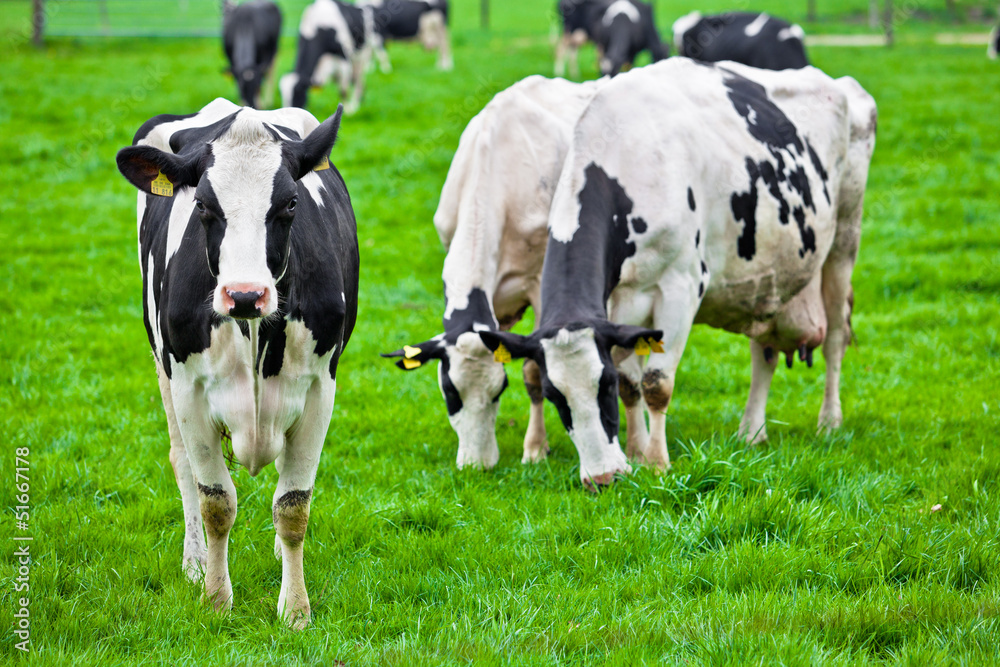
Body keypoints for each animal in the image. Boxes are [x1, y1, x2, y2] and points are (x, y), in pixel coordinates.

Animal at [117, 96, 360, 628]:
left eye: (290, 203)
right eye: (203, 206)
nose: (246, 295)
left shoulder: (320, 389)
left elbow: (293, 506)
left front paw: (295, 609)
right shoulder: (188, 389)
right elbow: (215, 501)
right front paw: (215, 598)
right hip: (161, 367)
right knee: (182, 463)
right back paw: (193, 562)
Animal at [382, 75, 600, 470]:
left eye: (500, 389)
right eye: (450, 391)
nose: (476, 465)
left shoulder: (539, 284)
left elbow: (533, 369)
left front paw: (535, 447)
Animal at [476, 60, 876, 488]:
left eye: (603, 384)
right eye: (554, 395)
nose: (602, 478)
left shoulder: (681, 289)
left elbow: (656, 384)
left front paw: (656, 462)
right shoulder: (616, 308)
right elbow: (633, 385)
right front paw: (634, 454)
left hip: (844, 238)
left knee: (835, 337)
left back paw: (829, 422)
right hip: (768, 277)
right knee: (764, 353)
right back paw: (751, 432)